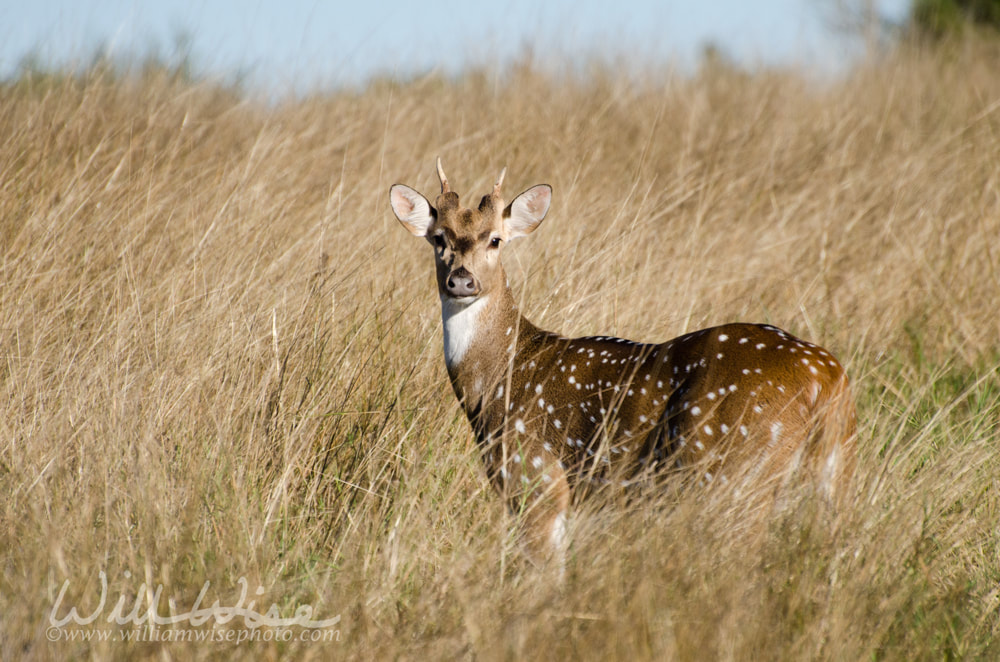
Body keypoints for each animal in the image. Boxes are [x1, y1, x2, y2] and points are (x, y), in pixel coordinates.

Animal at [390, 160, 860, 564]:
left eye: (495, 239)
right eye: (440, 238)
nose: (462, 280)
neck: (497, 381)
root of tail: (828, 376)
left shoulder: (538, 479)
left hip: (733, 470)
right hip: (835, 471)